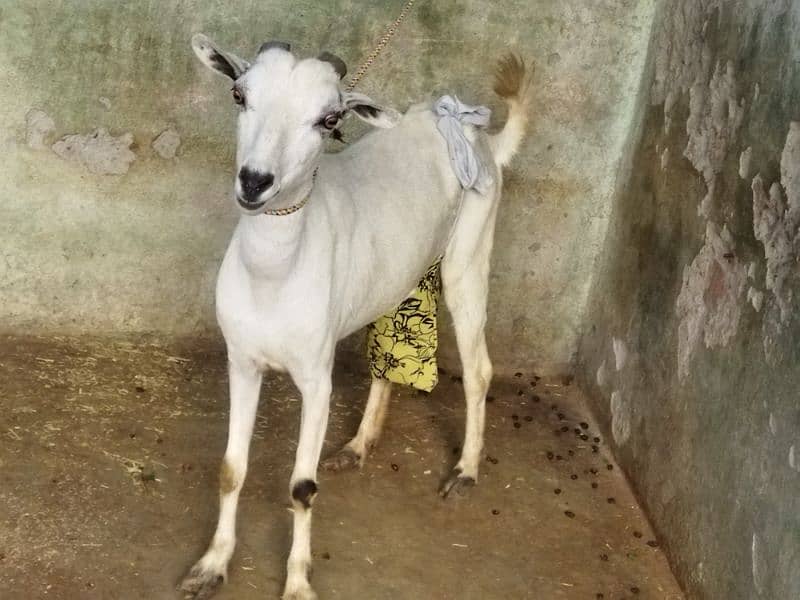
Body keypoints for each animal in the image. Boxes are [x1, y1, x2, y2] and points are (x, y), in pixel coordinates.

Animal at [181, 34, 532, 600]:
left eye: (328, 119)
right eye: (239, 94)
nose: (255, 182)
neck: (274, 279)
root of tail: (476, 136)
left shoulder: (316, 377)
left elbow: (302, 487)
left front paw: (298, 583)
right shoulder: (242, 360)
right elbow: (231, 468)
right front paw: (210, 567)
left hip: (469, 257)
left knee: (479, 368)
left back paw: (464, 471)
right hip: (397, 278)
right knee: (389, 356)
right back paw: (357, 445)